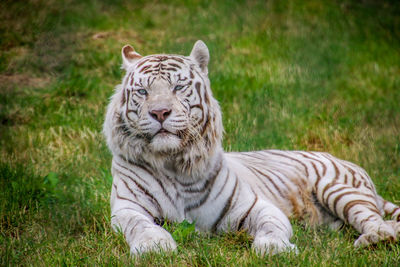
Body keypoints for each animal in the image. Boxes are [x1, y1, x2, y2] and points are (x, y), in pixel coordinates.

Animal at [104, 40, 400, 256]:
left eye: (178, 87)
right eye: (143, 92)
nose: (160, 112)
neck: (172, 162)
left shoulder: (253, 205)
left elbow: (271, 226)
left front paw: (275, 248)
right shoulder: (128, 208)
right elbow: (141, 226)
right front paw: (154, 246)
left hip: (339, 188)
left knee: (376, 220)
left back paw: (376, 239)